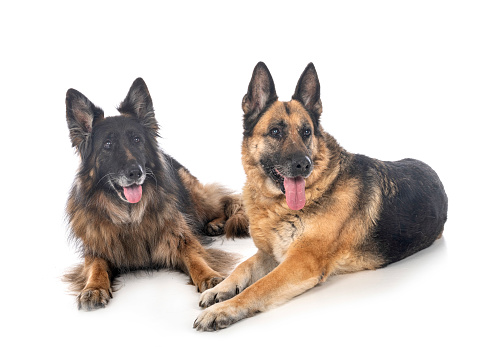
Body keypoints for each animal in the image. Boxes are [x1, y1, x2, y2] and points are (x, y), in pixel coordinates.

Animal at [65, 78, 248, 310]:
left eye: (136, 140)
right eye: (107, 145)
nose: (135, 173)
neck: (130, 216)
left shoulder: (179, 240)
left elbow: (196, 257)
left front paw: (210, 277)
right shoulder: (97, 249)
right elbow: (94, 267)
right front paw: (93, 288)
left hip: (194, 197)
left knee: (224, 201)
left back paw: (215, 223)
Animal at [195, 62, 450, 332]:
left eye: (306, 132)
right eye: (275, 132)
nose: (303, 165)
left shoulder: (301, 262)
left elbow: (258, 287)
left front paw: (223, 310)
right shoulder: (270, 254)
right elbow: (242, 266)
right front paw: (221, 289)